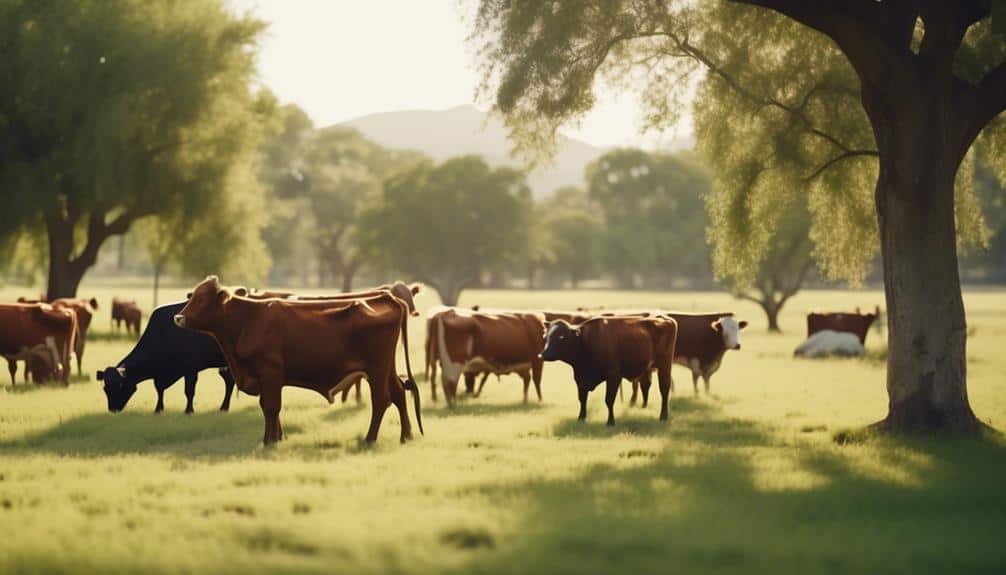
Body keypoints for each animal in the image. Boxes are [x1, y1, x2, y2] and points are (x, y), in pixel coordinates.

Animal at [96, 301, 236, 413]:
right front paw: (158, 409)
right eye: (105, 387)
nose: (112, 409)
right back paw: (224, 407)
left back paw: (224, 407)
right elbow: (159, 389)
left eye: (120, 385)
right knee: (229, 381)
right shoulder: (161, 374)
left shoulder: (191, 369)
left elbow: (189, 391)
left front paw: (189, 411)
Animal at [173, 276, 421, 446]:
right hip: (386, 368)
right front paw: (278, 437)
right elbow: (268, 407)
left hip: (376, 369)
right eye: (193, 295)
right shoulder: (267, 378)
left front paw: (269, 441)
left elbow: (271, 407)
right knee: (399, 393)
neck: (249, 319)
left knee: (381, 400)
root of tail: (386, 297)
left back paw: (370, 439)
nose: (178, 317)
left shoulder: (270, 371)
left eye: (202, 298)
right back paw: (406, 435)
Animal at [541, 315, 678, 425]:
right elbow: (582, 399)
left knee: (664, 390)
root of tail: (664, 318)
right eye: (546, 336)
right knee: (646, 385)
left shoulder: (613, 377)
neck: (586, 342)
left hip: (665, 367)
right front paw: (581, 418)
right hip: (647, 369)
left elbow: (609, 400)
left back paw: (663, 417)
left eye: (561, 337)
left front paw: (610, 422)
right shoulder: (580, 379)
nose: (544, 354)